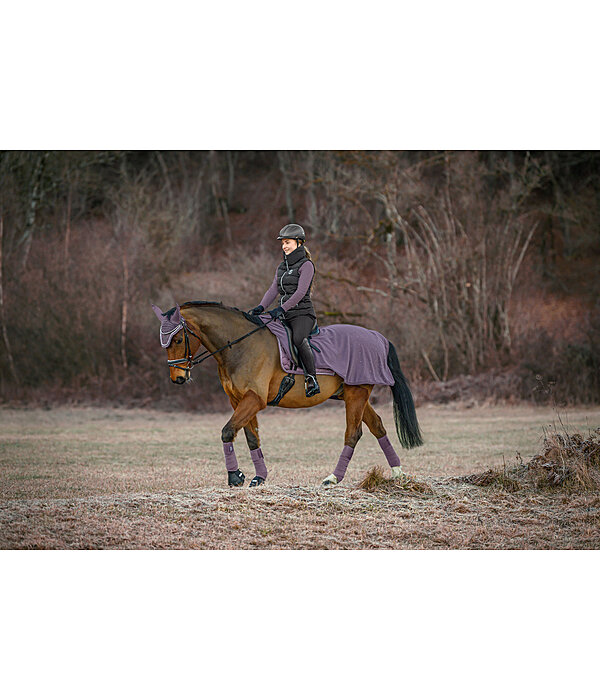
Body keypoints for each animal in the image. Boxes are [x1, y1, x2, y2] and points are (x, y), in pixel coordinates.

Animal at [152, 300, 420, 486]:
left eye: (177, 339)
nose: (178, 378)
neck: (239, 346)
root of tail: (378, 337)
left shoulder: (254, 399)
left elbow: (228, 431)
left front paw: (235, 476)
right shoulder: (238, 400)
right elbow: (252, 438)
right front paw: (259, 477)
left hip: (356, 395)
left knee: (353, 434)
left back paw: (332, 478)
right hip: (355, 396)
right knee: (378, 427)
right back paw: (398, 474)